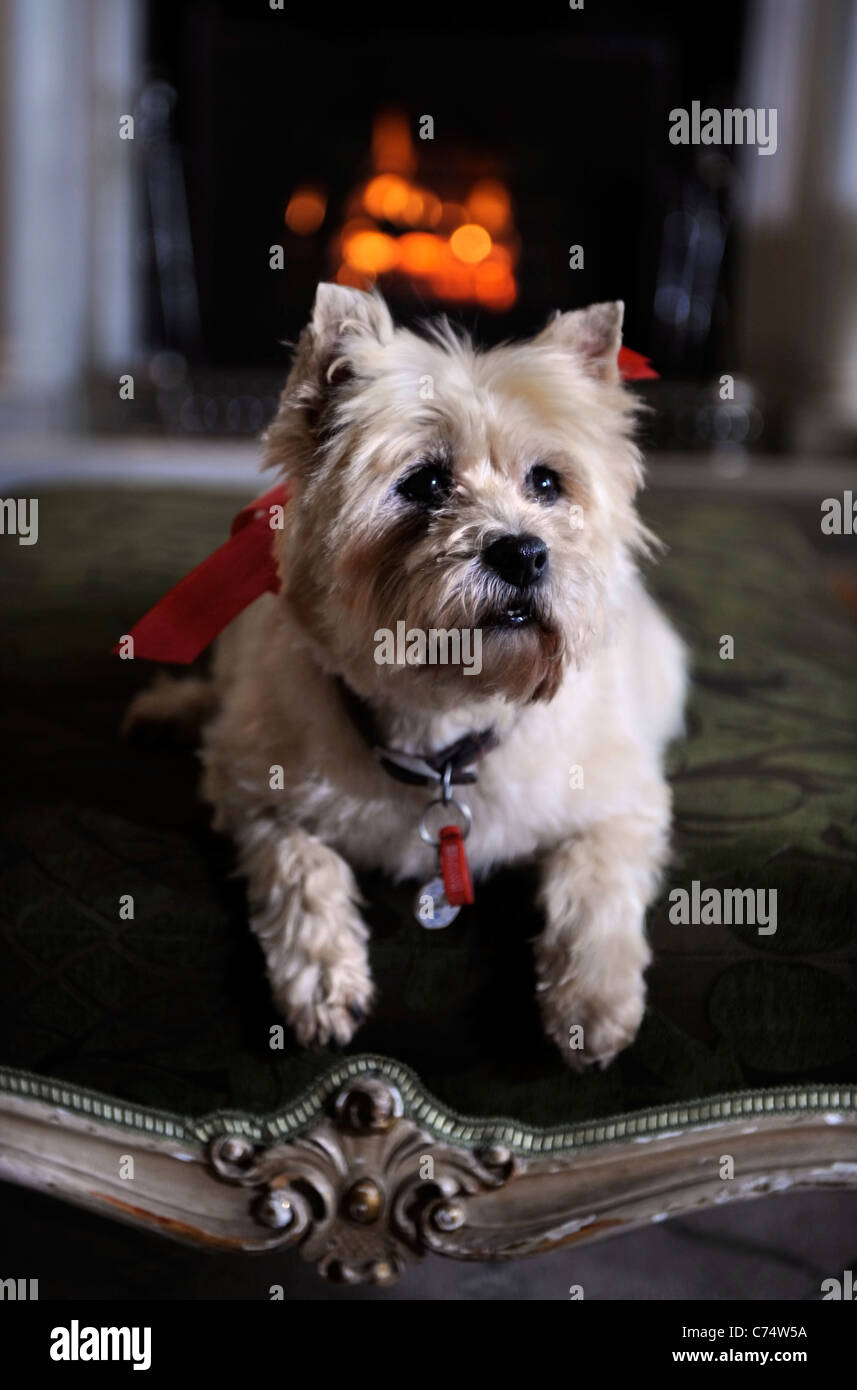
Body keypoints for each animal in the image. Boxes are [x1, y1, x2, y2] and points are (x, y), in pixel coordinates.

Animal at [128, 279, 688, 1061]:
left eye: (547, 482)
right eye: (424, 483)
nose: (522, 552)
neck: (442, 720)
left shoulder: (623, 801)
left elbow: (595, 883)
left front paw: (593, 1000)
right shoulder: (247, 789)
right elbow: (302, 865)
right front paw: (323, 980)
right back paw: (170, 711)